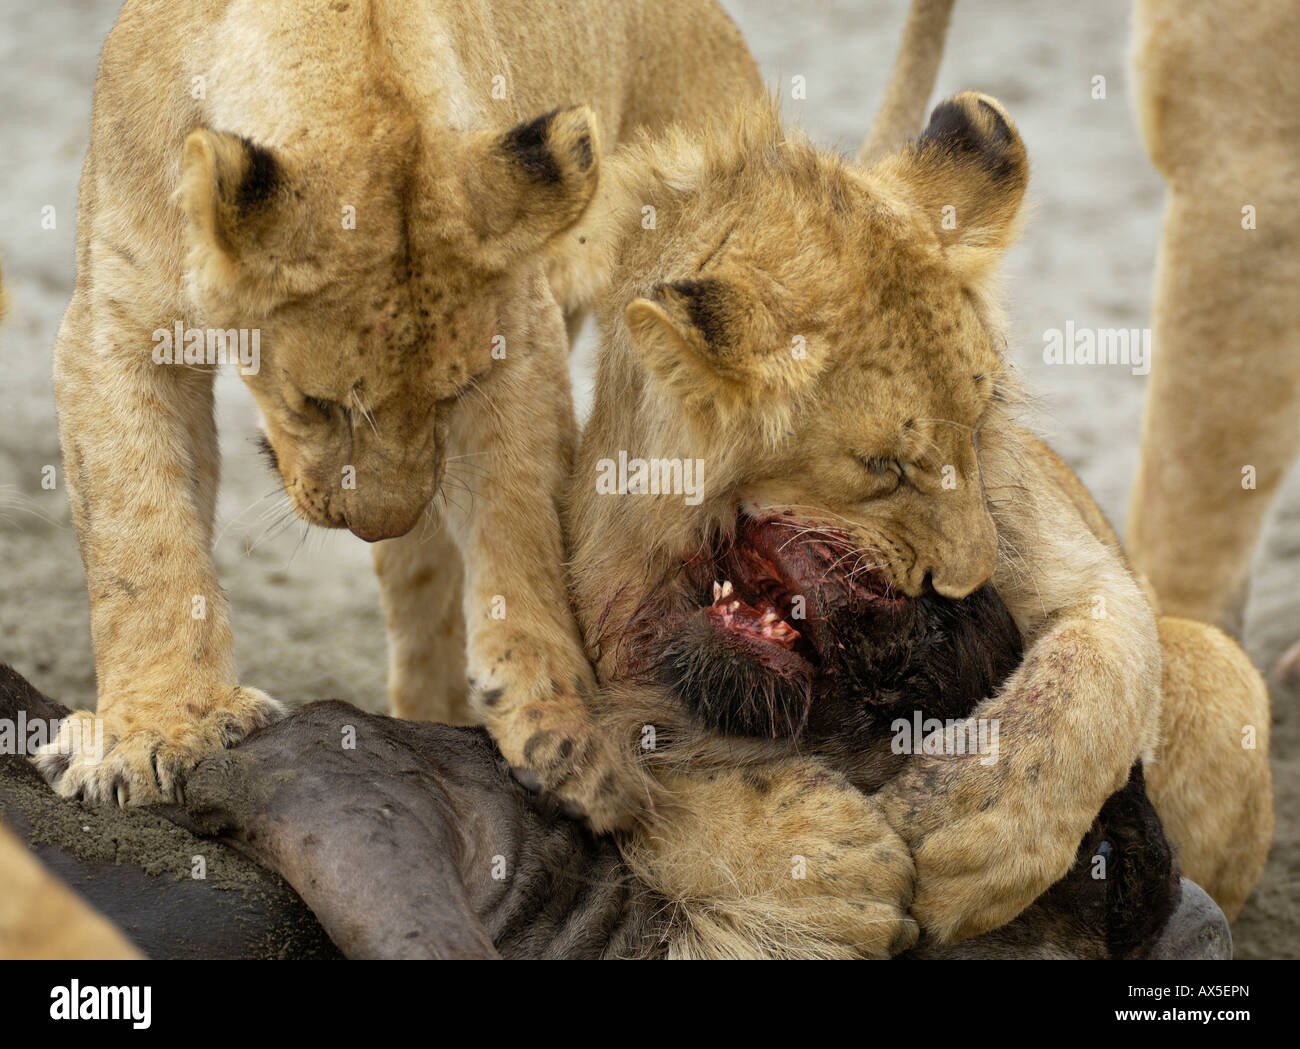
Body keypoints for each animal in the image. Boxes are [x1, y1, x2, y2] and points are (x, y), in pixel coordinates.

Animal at [35, 0, 760, 823]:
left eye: (453, 392)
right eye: (315, 403)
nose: (381, 522)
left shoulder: (521, 335)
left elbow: (524, 528)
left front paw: (567, 723)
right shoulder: (117, 325)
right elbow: (142, 539)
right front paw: (157, 728)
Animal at [555, 92, 1272, 956]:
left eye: (979, 418)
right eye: (883, 466)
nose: (966, 577)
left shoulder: (1070, 557)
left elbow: (1088, 677)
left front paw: (980, 825)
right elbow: (650, 783)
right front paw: (816, 862)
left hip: (1219, 665)